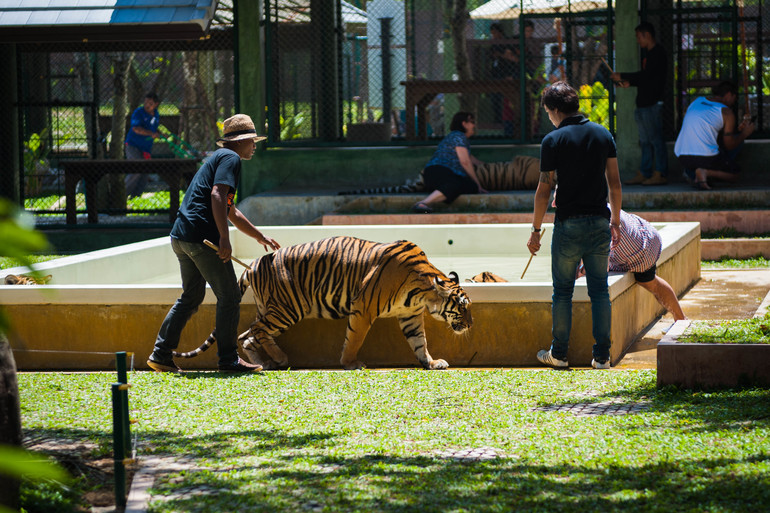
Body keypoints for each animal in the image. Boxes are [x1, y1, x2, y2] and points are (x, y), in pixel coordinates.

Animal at [173, 236, 472, 370]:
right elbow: (354, 338)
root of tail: (254, 264)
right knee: (256, 331)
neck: (423, 292)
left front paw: (431, 362)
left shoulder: (410, 315)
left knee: (246, 334)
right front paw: (350, 362)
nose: (471, 324)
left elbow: (419, 341)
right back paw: (279, 358)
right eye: (462, 307)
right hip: (287, 309)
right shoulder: (363, 309)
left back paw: (264, 363)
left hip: (269, 308)